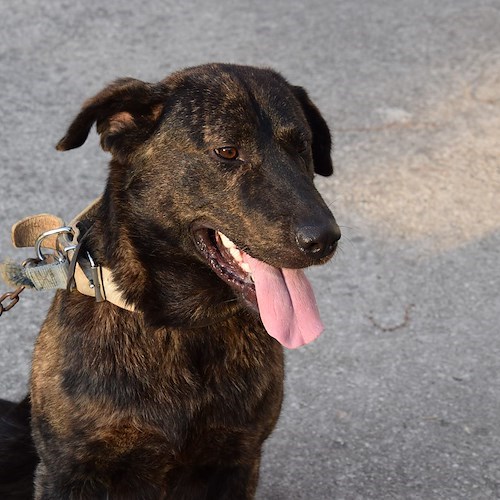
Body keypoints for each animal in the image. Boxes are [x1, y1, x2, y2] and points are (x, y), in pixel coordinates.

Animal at [0, 64, 340, 498]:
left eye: (303, 146)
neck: (180, 327)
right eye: (227, 151)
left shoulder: (237, 461)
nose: (325, 239)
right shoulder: (68, 472)